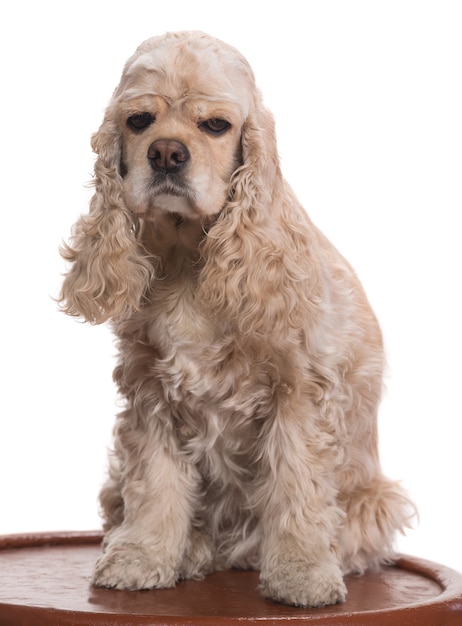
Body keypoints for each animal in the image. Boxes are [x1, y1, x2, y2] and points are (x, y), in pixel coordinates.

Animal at [58, 31, 416, 608]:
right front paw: (142, 558)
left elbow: (296, 486)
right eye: (139, 120)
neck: (187, 255)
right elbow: (154, 484)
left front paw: (301, 574)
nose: (166, 153)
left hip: (374, 497)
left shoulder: (299, 392)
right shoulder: (149, 391)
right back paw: (192, 551)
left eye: (215, 125)